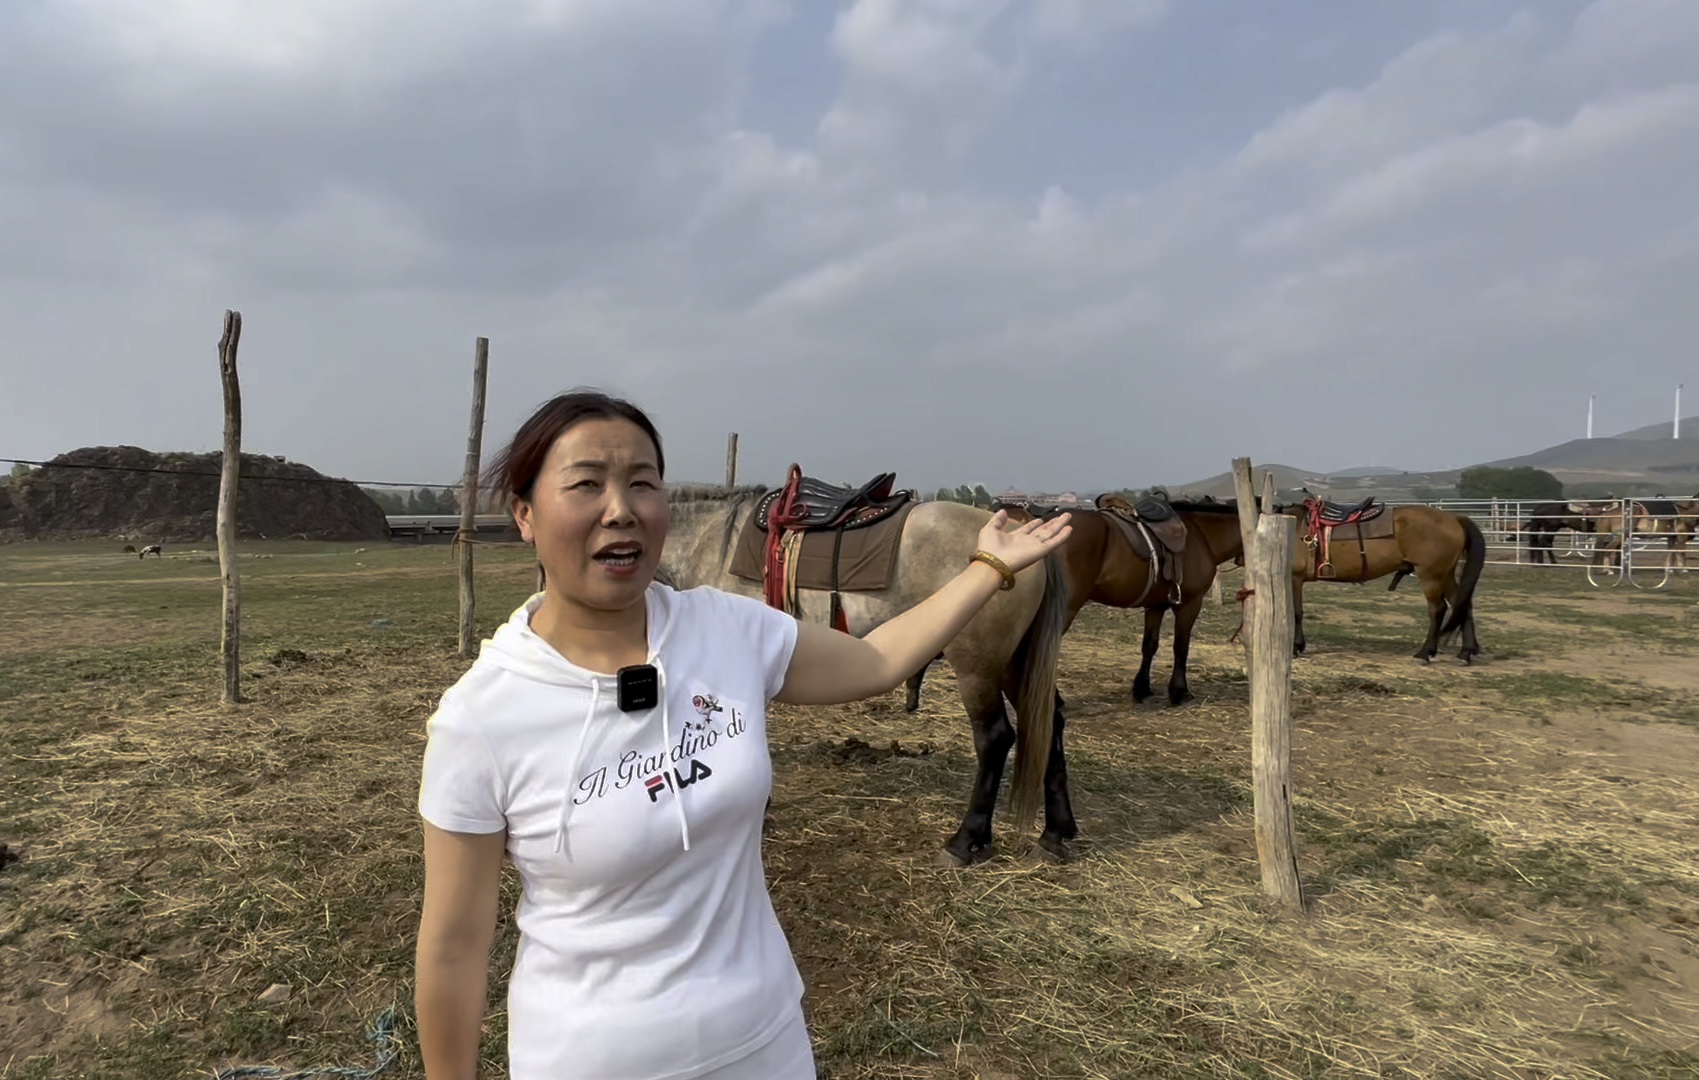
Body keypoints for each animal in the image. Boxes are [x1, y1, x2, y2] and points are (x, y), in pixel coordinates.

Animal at [652, 468, 1066, 866]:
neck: (707, 541)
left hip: (977, 669)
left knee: (994, 739)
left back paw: (964, 842)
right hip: (1013, 665)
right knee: (1050, 720)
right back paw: (1055, 836)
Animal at [903, 492, 1250, 713]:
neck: (1199, 534)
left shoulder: (1156, 605)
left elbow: (1149, 646)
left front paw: (1141, 689)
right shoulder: (1190, 603)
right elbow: (1181, 647)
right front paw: (1179, 691)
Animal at [1270, 495, 1481, 662]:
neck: (1291, 527)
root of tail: (1454, 518)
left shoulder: (1295, 578)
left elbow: (1296, 612)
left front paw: (1296, 646)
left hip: (1431, 576)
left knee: (1438, 609)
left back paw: (1425, 652)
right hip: (1445, 574)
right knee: (1462, 604)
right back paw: (1466, 652)